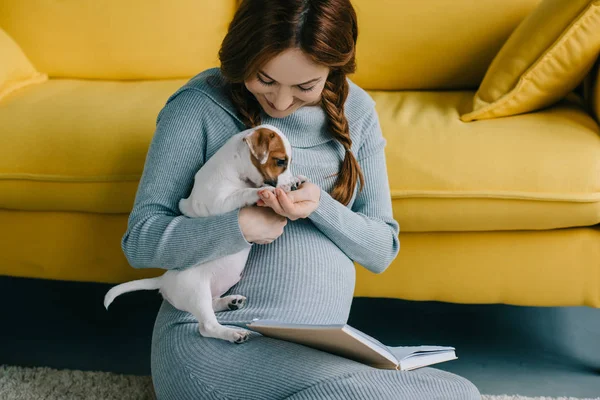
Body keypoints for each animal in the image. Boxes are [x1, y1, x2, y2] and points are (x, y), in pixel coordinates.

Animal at [102, 125, 304, 344]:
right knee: (207, 326)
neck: (237, 171)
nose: (291, 186)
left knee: (213, 304)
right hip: (196, 290)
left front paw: (295, 179)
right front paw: (263, 191)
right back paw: (233, 333)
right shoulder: (219, 202)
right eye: (280, 161)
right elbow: (242, 193)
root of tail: (164, 280)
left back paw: (230, 302)